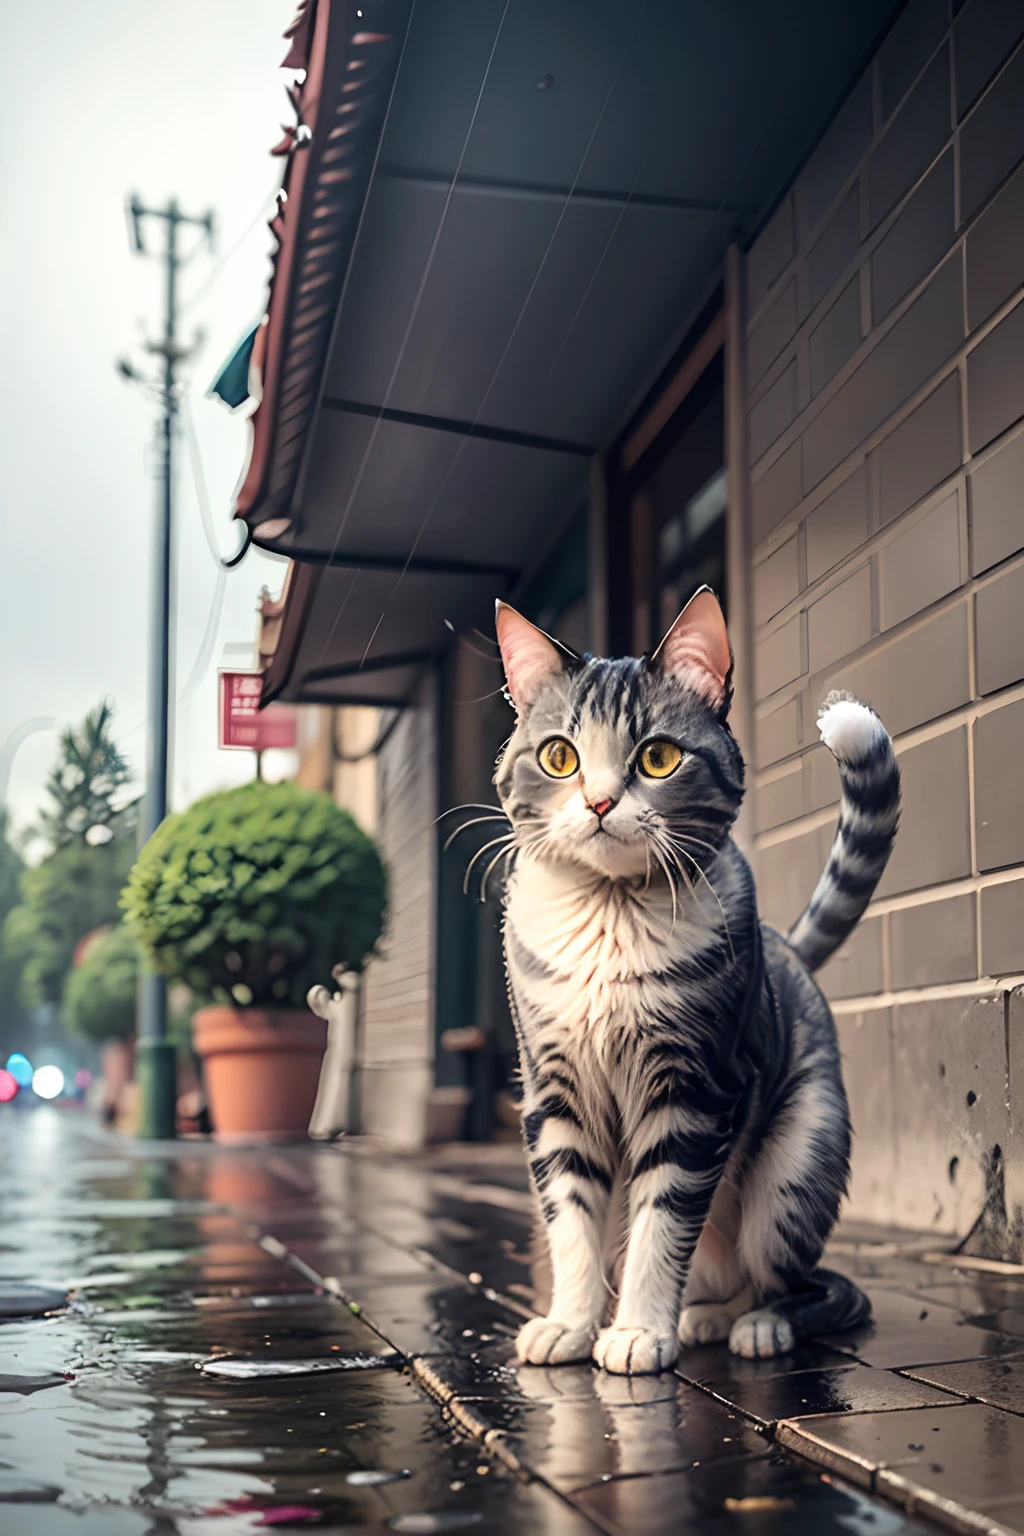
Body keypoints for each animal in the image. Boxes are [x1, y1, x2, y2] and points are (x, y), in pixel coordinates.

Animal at [491, 589, 902, 1382]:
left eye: (657, 757)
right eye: (559, 756)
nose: (598, 803)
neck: (611, 920)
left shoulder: (693, 1088)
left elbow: (661, 1224)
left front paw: (637, 1332)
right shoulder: (555, 1094)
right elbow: (573, 1224)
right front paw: (571, 1325)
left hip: (791, 1176)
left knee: (820, 1286)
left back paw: (760, 1325)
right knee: (719, 1275)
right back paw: (704, 1317)